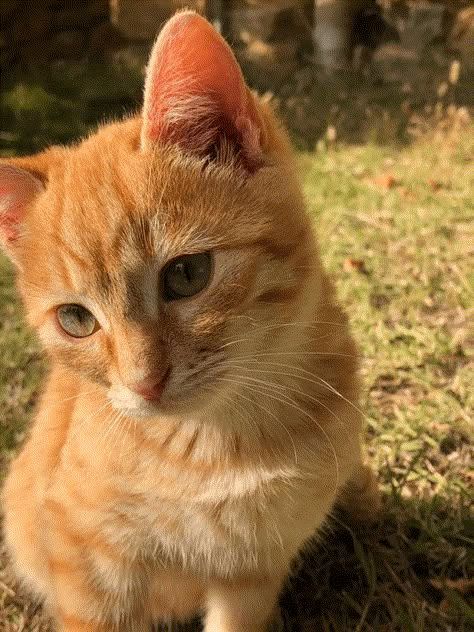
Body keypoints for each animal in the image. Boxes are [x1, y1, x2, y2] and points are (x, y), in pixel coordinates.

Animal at [0, 9, 378, 632]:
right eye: (76, 319)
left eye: (186, 274)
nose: (144, 384)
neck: (214, 445)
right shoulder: (88, 564)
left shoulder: (252, 569)